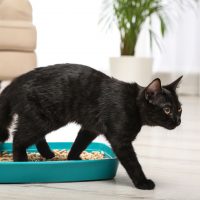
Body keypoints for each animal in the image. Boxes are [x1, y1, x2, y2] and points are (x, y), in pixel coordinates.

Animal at [0, 63, 182, 189]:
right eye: (167, 109)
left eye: (179, 109)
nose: (178, 121)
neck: (133, 104)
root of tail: (15, 82)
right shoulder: (120, 141)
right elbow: (133, 163)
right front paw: (143, 183)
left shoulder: (90, 128)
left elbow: (79, 143)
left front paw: (72, 158)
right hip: (43, 120)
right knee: (18, 138)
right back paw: (21, 161)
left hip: (42, 120)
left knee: (36, 137)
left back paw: (48, 154)